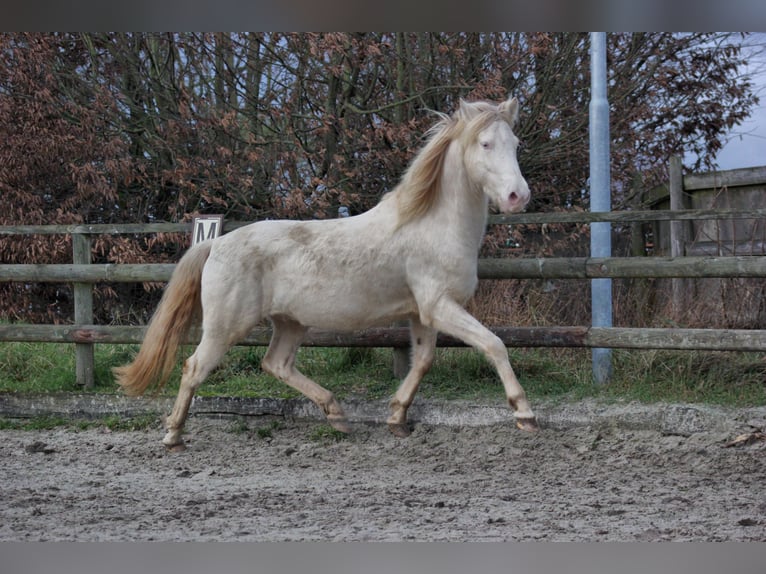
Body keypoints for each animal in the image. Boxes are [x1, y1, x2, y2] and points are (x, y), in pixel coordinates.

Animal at [117, 97, 540, 452]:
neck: (430, 225)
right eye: (485, 143)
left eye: (516, 143)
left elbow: (422, 361)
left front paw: (397, 418)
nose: (518, 197)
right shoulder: (440, 306)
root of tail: (215, 245)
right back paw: (173, 435)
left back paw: (336, 414)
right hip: (226, 326)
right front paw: (524, 414)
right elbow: (494, 345)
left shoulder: (423, 314)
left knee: (276, 364)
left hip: (290, 322)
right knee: (194, 368)